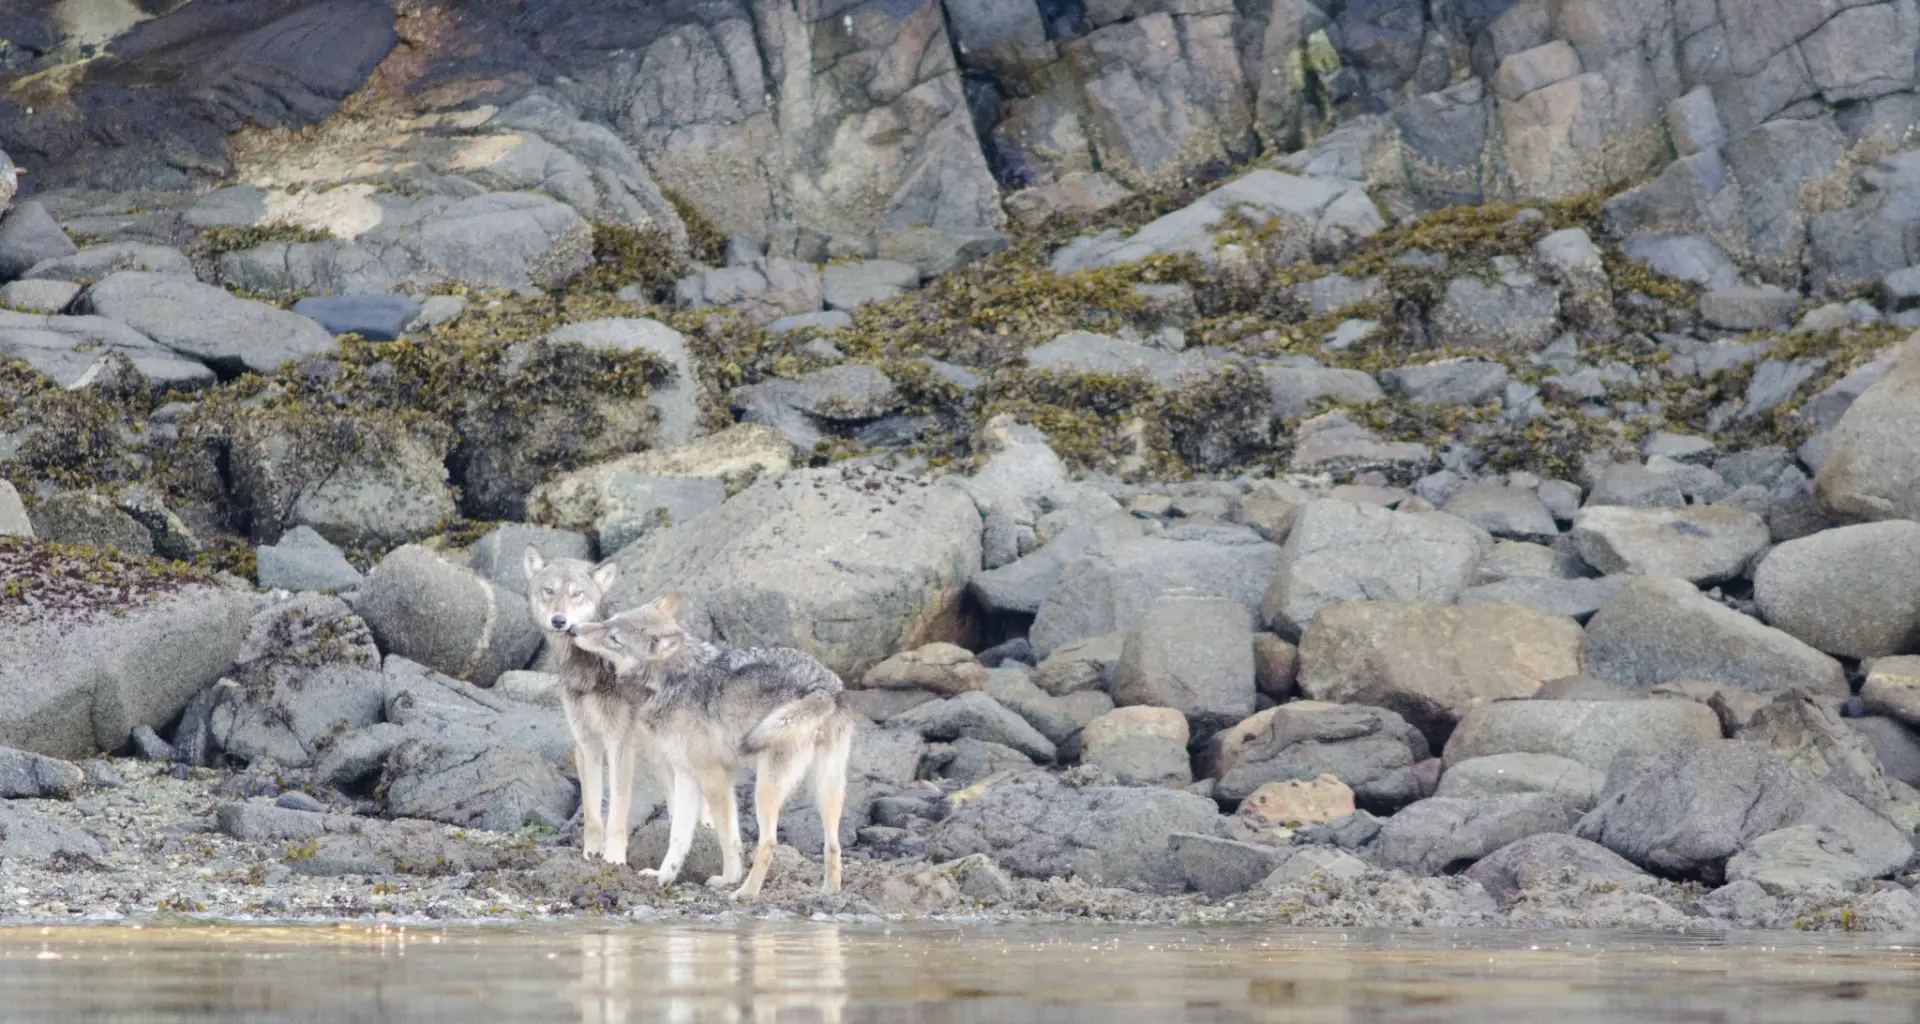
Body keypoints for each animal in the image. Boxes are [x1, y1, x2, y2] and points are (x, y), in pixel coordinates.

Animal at [521, 547, 712, 866]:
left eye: (577, 594)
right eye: (549, 591)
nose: (559, 621)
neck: (589, 667)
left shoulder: (619, 745)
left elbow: (618, 810)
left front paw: (614, 857)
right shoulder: (586, 744)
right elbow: (592, 812)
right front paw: (591, 853)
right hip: (656, 756)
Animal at [569, 594, 855, 898]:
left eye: (614, 638)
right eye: (608, 621)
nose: (573, 630)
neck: (673, 682)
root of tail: (824, 686)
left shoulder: (714, 777)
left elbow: (727, 837)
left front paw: (729, 877)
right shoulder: (685, 775)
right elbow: (679, 835)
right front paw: (663, 876)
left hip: (766, 789)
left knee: (769, 842)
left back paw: (746, 892)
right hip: (827, 790)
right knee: (833, 844)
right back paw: (830, 892)